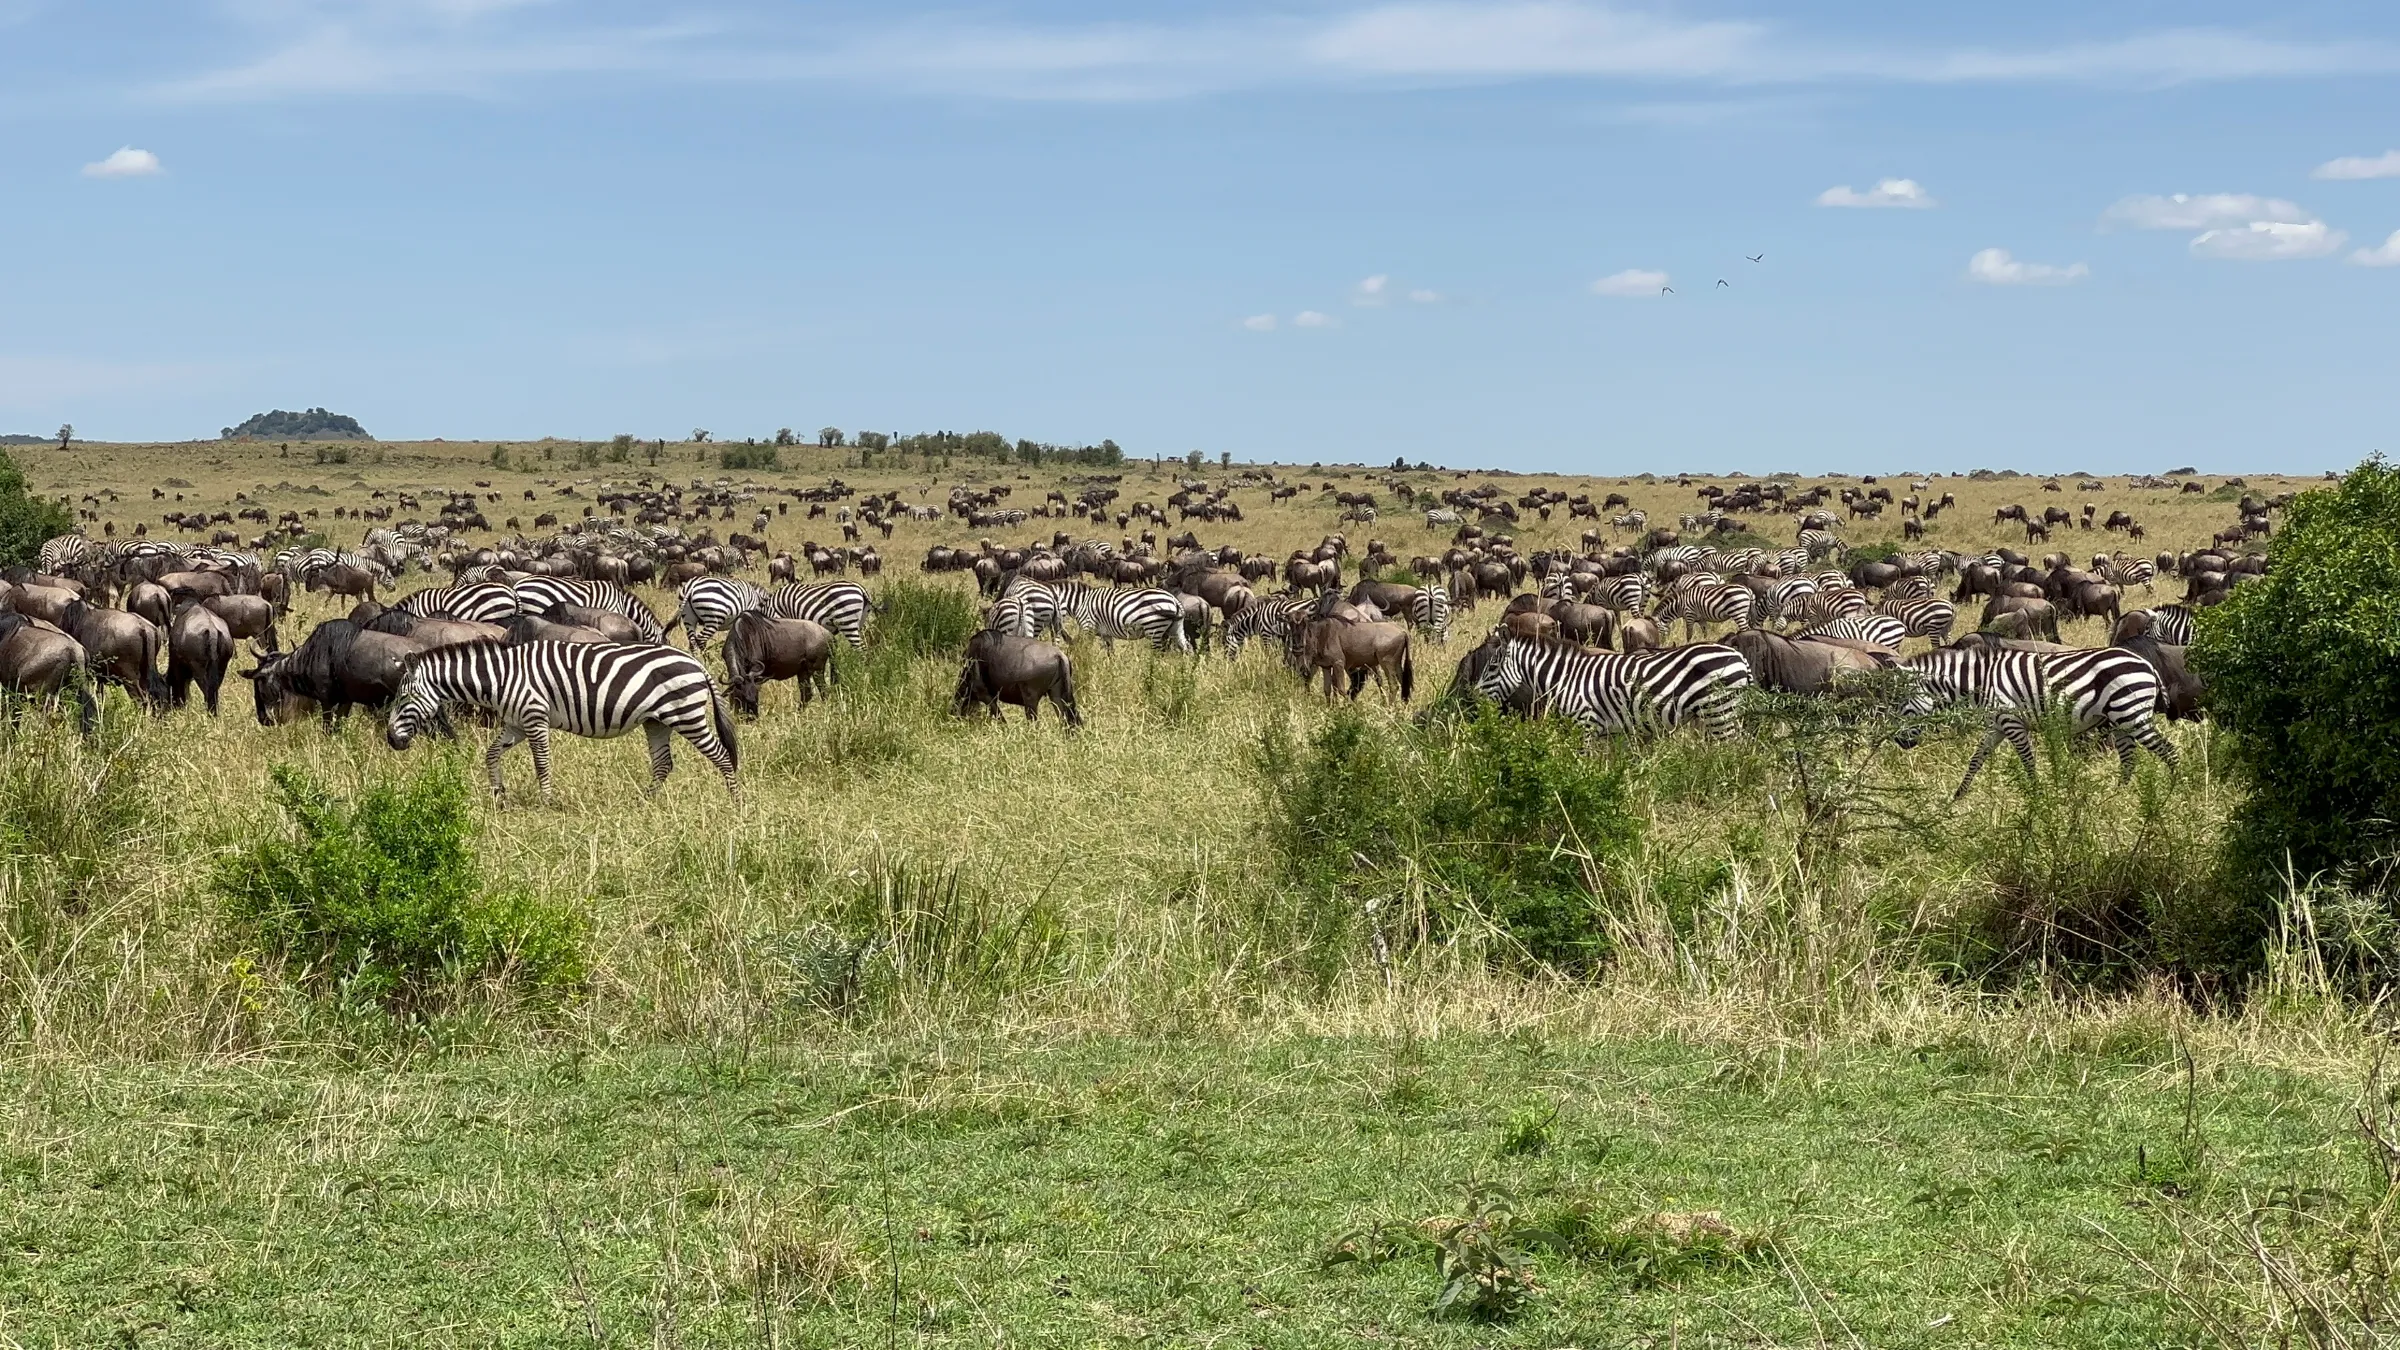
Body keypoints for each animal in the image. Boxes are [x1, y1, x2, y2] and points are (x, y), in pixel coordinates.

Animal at [388, 634, 739, 792]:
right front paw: (498, 793)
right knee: (664, 764)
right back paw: (647, 800)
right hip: (657, 721)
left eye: (403, 698)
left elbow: (541, 763)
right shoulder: (516, 724)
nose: (391, 740)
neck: (502, 677)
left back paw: (733, 803)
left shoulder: (534, 716)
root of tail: (695, 663)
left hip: (687, 715)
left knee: (723, 756)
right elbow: (491, 754)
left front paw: (547, 801)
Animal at [1046, 576, 1185, 648]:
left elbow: (1086, 650)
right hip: (1175, 629)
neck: (1081, 601)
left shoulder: (1088, 628)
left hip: (1154, 629)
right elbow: (1110, 654)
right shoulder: (1106, 634)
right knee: (1186, 650)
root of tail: (1173, 600)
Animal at [1449, 629, 1756, 735]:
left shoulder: (1585, 724)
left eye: (1491, 668)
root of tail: (1739, 656)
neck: (1565, 678)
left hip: (1720, 712)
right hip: (1725, 713)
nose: (1474, 698)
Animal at [1900, 643, 2188, 797]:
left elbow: (2027, 761)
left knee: (2169, 752)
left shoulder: (2012, 722)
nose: (1900, 743)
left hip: (2131, 714)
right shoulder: (1996, 725)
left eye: (1899, 705)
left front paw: (2038, 798)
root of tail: (2146, 664)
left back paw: (2175, 792)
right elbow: (1976, 760)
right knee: (2129, 760)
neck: (1980, 682)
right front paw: (1957, 797)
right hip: (2121, 720)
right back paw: (2117, 795)